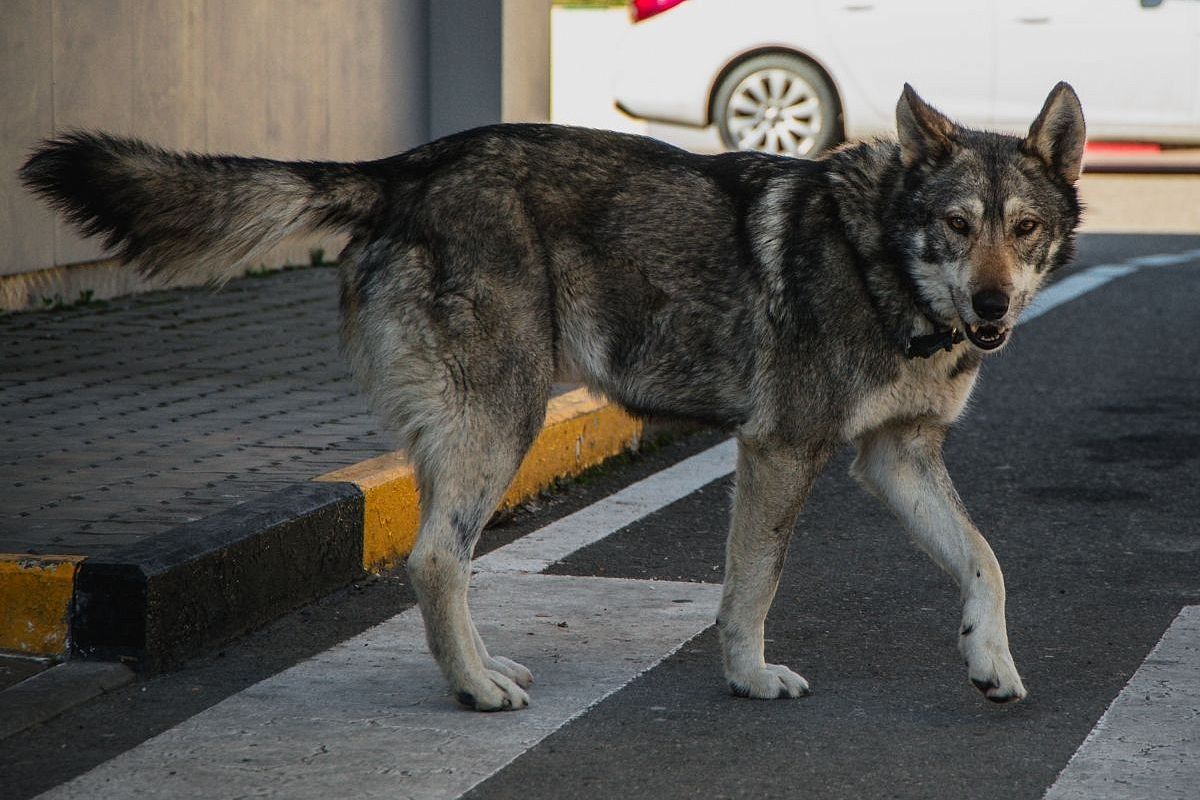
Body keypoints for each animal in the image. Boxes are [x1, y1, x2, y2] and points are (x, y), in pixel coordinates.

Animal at [21, 81, 1089, 710]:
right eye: (957, 226)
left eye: (1024, 229)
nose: (992, 306)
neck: (886, 271)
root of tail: (408, 167)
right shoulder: (782, 452)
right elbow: (752, 588)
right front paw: (749, 679)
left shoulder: (896, 459)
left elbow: (986, 562)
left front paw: (991, 661)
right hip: (504, 420)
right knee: (433, 559)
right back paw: (475, 689)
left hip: (468, 430)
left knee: (440, 559)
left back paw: (479, 670)